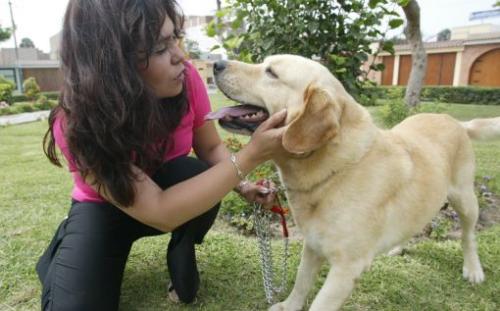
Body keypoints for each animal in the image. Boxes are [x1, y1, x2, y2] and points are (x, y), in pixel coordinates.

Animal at [209, 54, 498, 310]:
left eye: (271, 72)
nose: (216, 64)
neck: (337, 169)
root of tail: (454, 120)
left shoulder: (346, 269)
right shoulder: (312, 245)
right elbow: (301, 283)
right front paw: (289, 306)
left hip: (465, 199)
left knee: (468, 236)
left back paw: (473, 269)